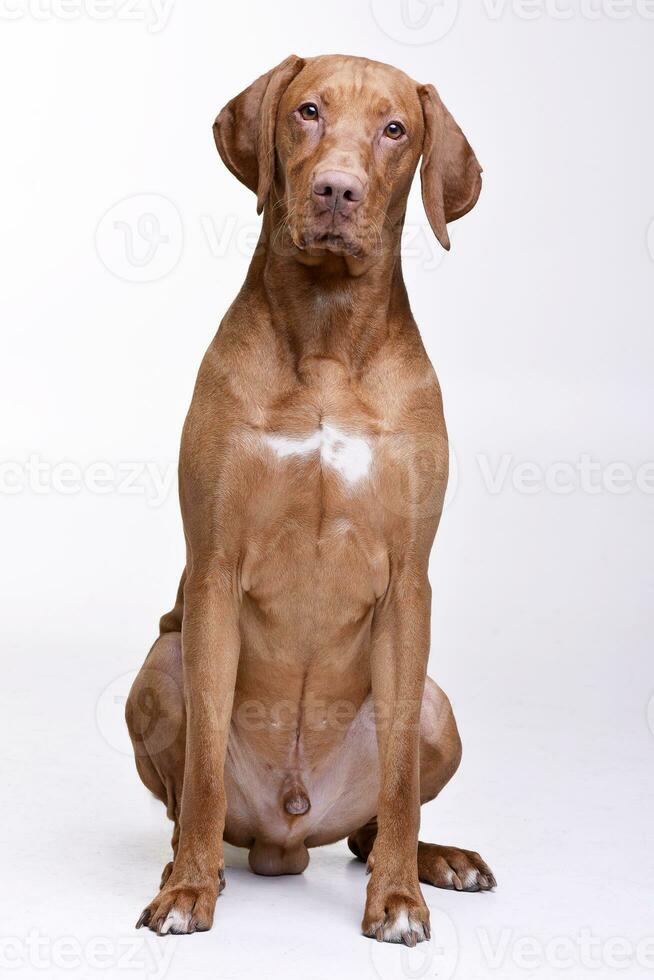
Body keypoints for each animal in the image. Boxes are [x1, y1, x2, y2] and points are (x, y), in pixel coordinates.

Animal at [127, 51, 498, 940]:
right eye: (307, 111)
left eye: (395, 128)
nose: (336, 190)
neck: (328, 334)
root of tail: (288, 835)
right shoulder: (216, 570)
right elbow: (201, 772)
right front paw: (188, 890)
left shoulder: (408, 585)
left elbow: (400, 784)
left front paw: (397, 899)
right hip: (160, 665)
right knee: (190, 799)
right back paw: (187, 865)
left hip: (435, 705)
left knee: (373, 823)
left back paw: (436, 862)